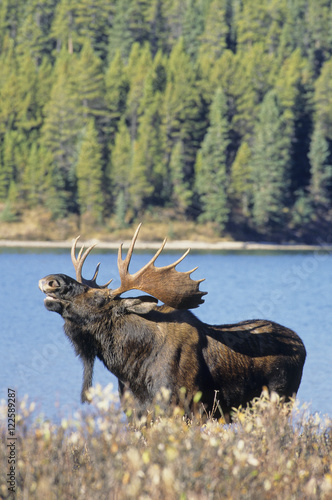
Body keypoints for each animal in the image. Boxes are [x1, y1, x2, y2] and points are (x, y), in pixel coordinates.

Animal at [38, 225, 306, 420]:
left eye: (99, 297)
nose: (51, 280)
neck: (130, 367)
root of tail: (302, 345)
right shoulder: (136, 414)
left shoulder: (186, 410)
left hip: (280, 402)